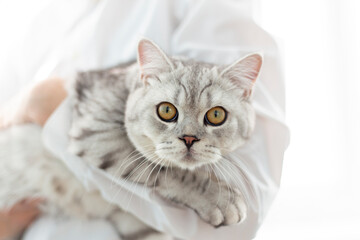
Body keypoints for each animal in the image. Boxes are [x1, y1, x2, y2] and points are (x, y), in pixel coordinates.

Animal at [0, 38, 262, 239]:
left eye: (216, 115)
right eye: (166, 110)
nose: (189, 138)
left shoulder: (133, 223)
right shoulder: (97, 133)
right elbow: (167, 170)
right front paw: (220, 199)